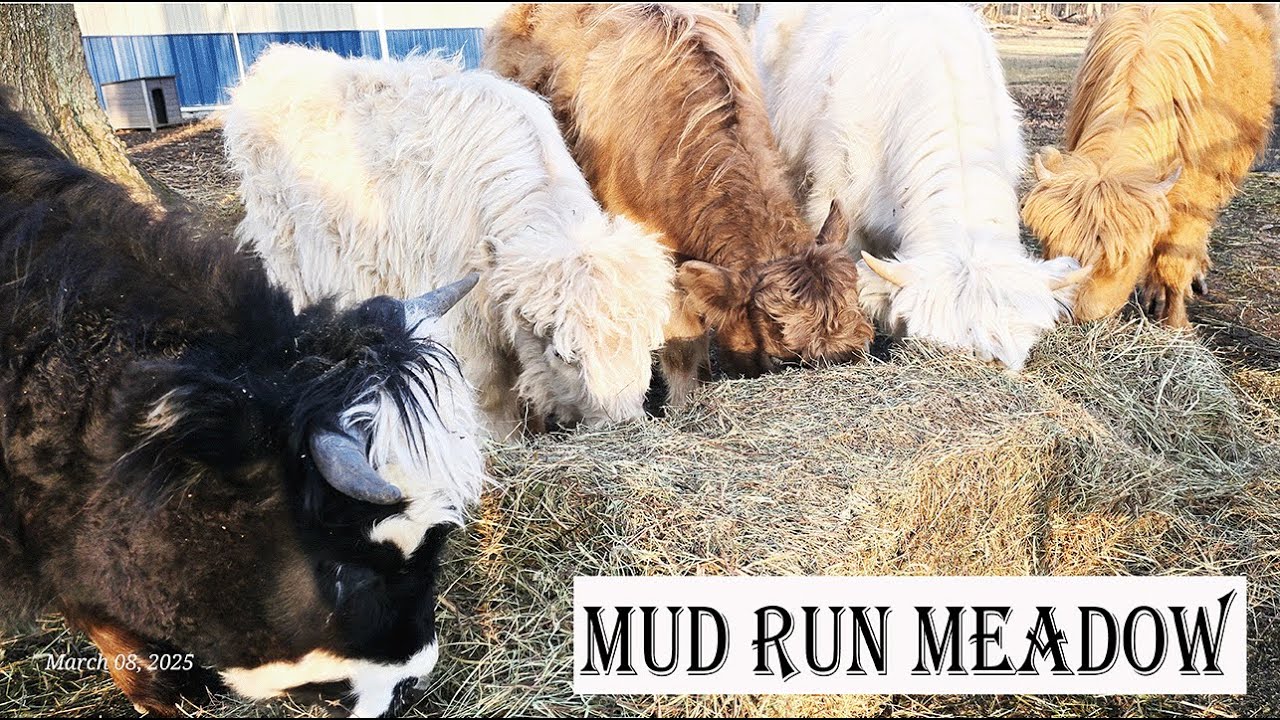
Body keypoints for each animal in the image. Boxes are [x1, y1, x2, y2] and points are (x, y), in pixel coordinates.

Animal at [225, 46, 674, 438]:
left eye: (647, 346)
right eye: (564, 354)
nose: (624, 426)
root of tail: (274, 62)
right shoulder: (463, 320)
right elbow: (490, 391)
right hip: (284, 249)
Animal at [1022, 4, 1276, 328]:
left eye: (1124, 256)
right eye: (1049, 241)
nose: (1080, 318)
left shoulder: (1195, 196)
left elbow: (1175, 260)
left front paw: (1177, 324)